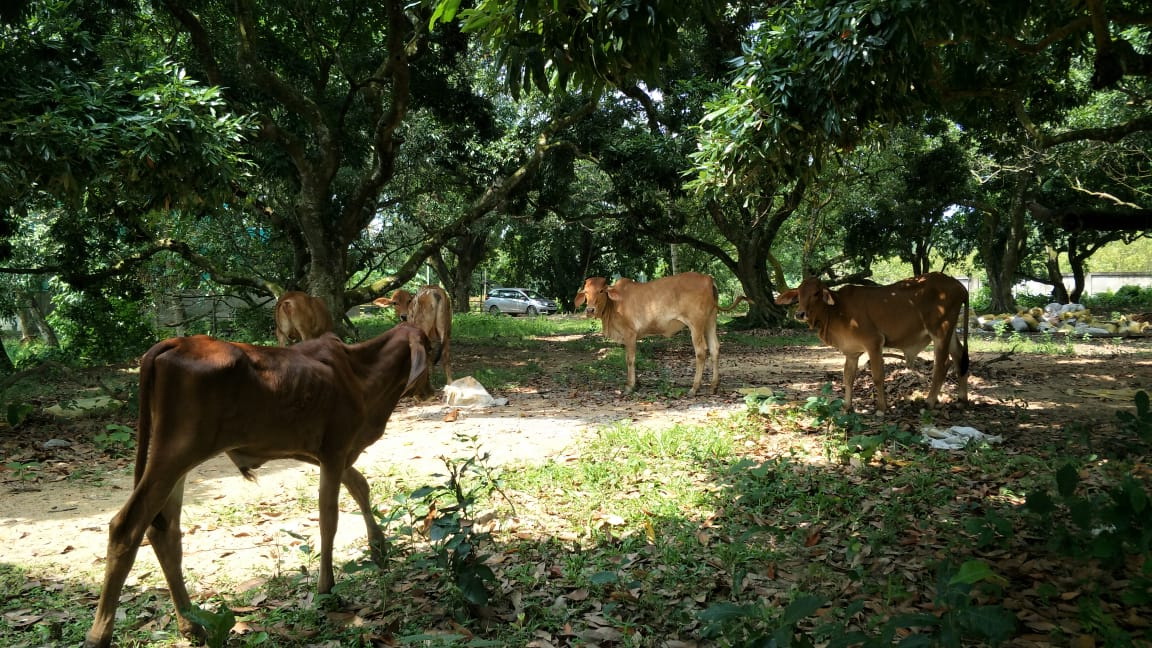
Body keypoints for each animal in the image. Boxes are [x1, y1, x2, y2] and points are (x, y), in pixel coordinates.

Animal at [83, 324, 429, 648]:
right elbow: (328, 518)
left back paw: (191, 624)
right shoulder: (334, 450)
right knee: (127, 527)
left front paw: (379, 548)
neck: (360, 372)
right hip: (174, 454)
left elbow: (360, 486)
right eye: (428, 339)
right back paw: (99, 634)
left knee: (164, 530)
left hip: (177, 460)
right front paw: (326, 589)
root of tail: (176, 342)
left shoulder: (331, 454)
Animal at [575, 272, 721, 396]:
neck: (614, 304)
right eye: (586, 292)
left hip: (696, 325)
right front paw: (637, 383)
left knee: (701, 352)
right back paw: (713, 386)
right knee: (714, 348)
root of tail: (708, 278)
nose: (590, 310)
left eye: (601, 291)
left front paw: (630, 386)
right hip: (710, 321)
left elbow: (630, 360)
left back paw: (694, 388)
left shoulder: (630, 334)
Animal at [774, 272, 970, 412]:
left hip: (940, 331)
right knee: (959, 357)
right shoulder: (852, 352)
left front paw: (882, 408)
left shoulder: (874, 343)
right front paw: (847, 406)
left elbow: (877, 376)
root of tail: (959, 286)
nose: (799, 314)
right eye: (799, 294)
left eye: (816, 293)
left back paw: (929, 402)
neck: (836, 310)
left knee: (942, 365)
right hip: (950, 332)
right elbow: (848, 378)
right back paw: (962, 400)